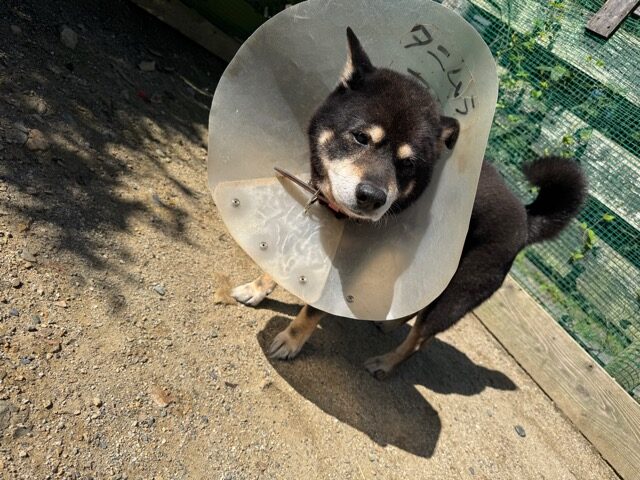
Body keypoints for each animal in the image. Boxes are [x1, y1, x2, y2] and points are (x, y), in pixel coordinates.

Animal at [230, 28, 586, 378]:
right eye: (360, 137)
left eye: (408, 163)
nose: (372, 197)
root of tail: (525, 218)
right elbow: (278, 265)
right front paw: (256, 288)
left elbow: (312, 311)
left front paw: (291, 341)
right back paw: (387, 323)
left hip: (454, 296)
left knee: (419, 340)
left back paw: (386, 363)